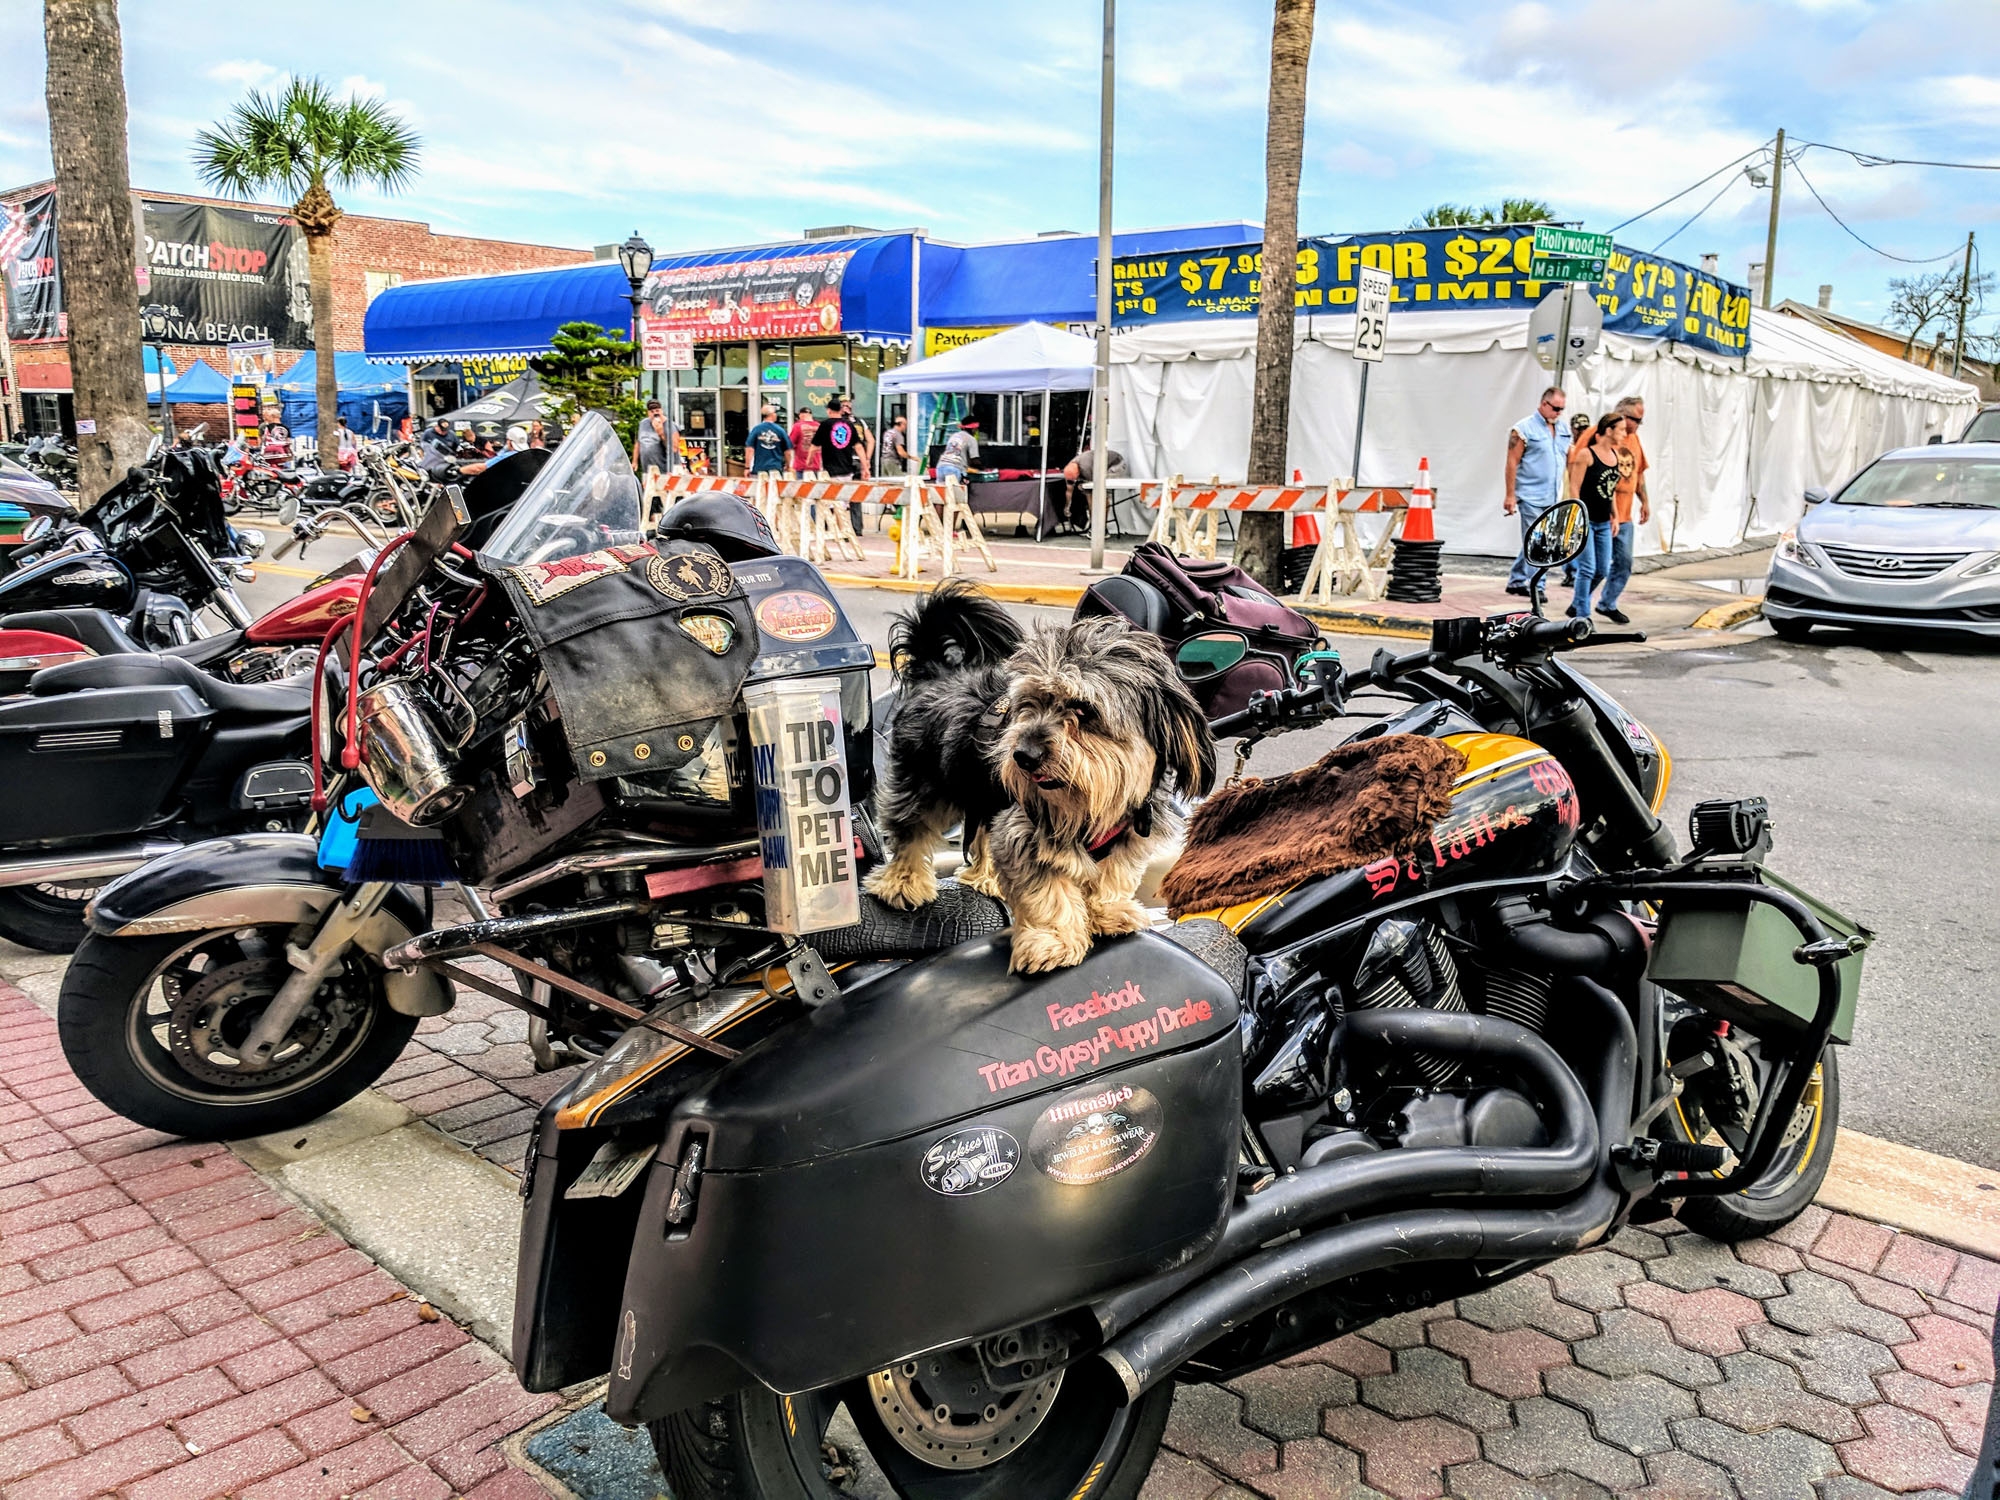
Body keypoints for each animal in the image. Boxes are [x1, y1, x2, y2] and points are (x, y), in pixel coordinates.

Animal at [868, 592, 1208, 980]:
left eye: (1084, 709)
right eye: (1030, 702)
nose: (1022, 756)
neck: (1095, 803)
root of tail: (936, 675)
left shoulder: (1131, 833)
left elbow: (1113, 875)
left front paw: (1108, 911)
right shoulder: (1025, 831)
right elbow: (1049, 892)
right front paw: (1055, 941)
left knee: (981, 833)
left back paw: (986, 877)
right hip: (924, 784)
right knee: (910, 830)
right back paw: (902, 883)